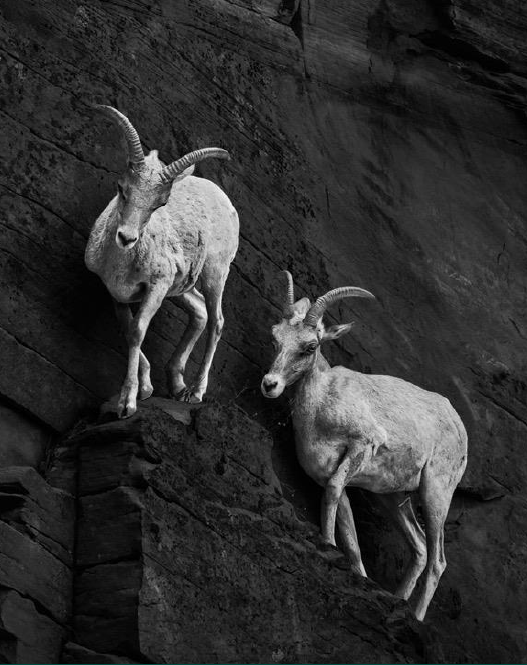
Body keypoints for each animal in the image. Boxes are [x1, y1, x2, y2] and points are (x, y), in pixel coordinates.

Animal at [85, 106, 239, 418]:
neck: (120, 265)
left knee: (216, 321)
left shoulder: (156, 287)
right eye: (121, 188)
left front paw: (127, 404)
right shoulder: (117, 294)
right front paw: (145, 389)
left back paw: (195, 393)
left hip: (214, 275)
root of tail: (226, 202)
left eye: (160, 204)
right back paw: (177, 386)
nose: (127, 238)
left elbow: (137, 331)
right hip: (180, 288)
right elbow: (128, 331)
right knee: (200, 312)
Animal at [261, 271, 467, 621]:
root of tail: (458, 424)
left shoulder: (361, 447)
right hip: (393, 498)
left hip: (436, 493)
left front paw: (325, 543)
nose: (270, 384)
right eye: (276, 338)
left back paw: (415, 617)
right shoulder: (335, 476)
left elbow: (332, 496)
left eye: (310, 346)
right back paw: (398, 601)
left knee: (437, 560)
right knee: (419, 548)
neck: (321, 407)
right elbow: (351, 536)